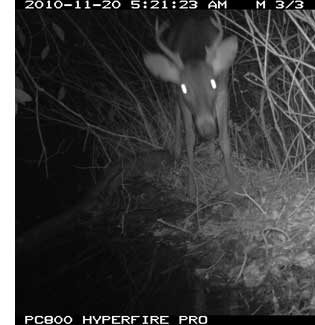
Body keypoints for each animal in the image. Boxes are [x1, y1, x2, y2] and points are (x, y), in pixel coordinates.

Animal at [144, 14, 242, 197]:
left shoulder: (223, 91)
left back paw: (211, 156)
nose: (207, 128)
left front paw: (234, 186)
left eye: (212, 83)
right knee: (175, 115)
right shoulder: (182, 98)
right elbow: (189, 139)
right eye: (185, 88)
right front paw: (190, 189)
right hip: (173, 91)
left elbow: (224, 138)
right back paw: (176, 152)